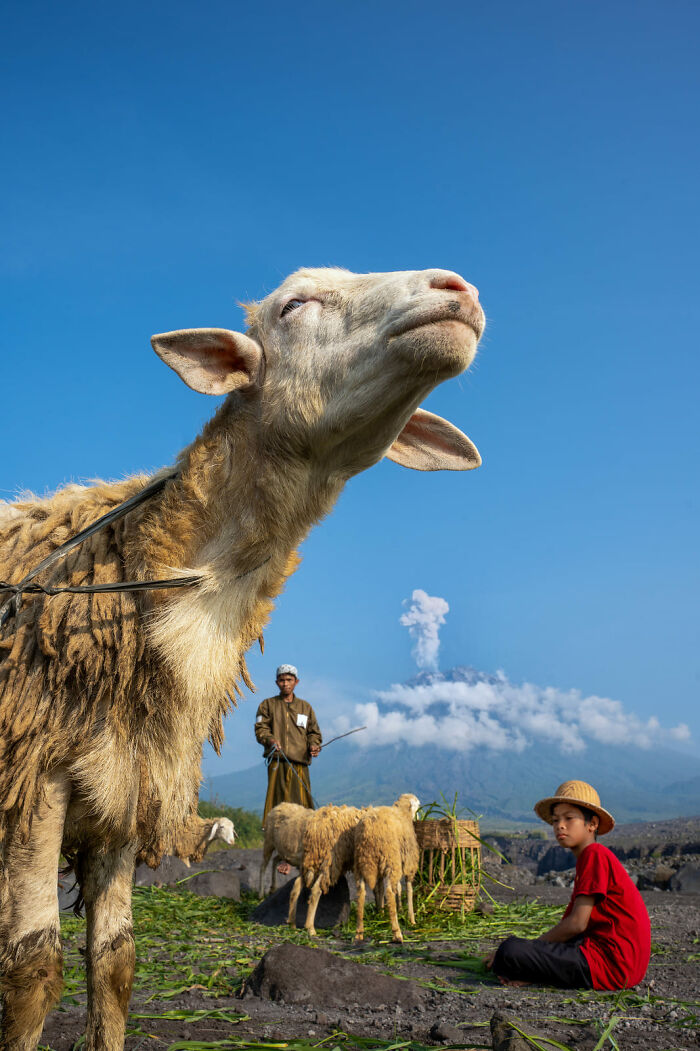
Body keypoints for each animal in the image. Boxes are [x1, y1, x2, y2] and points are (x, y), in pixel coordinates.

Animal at [0, 265, 484, 1049]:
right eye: (294, 304)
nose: (459, 290)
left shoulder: (126, 780)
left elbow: (114, 960)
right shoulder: (35, 773)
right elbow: (32, 970)